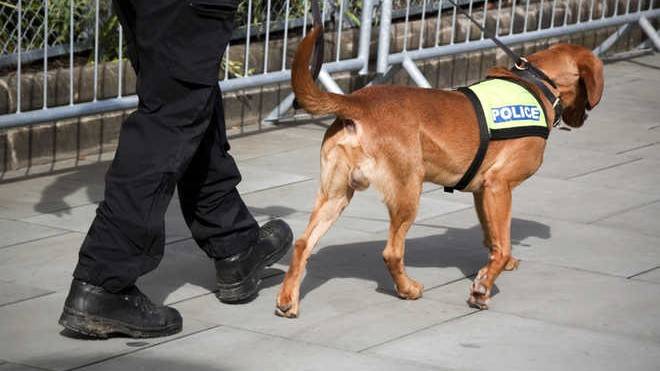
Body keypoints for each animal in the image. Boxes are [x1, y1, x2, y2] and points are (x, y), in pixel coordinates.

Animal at [276, 25, 604, 320]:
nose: (584, 120)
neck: (537, 85)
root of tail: (358, 101)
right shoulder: (500, 185)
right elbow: (502, 243)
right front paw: (483, 287)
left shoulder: (484, 191)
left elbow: (493, 237)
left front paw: (495, 266)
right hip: (408, 192)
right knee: (392, 252)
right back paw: (407, 289)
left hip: (335, 195)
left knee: (303, 243)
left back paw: (287, 299)